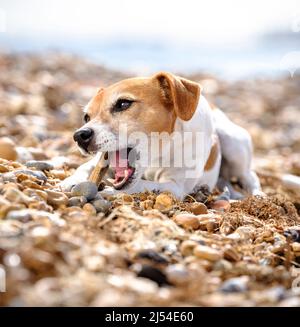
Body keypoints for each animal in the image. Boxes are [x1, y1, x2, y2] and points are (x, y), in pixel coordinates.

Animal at [60, 72, 262, 200]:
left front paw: (109, 191)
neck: (156, 155)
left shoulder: (175, 186)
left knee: (250, 176)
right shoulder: (101, 160)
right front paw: (72, 180)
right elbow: (85, 167)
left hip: (233, 145)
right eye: (86, 117)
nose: (79, 135)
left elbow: (141, 185)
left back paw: (258, 194)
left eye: (123, 104)